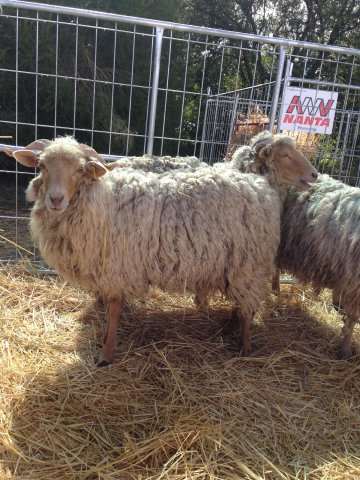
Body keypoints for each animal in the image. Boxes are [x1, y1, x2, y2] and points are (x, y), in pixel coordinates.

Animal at [9, 135, 316, 364]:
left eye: (80, 169)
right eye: (42, 166)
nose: (55, 199)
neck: (99, 200)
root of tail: (259, 186)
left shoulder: (118, 268)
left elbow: (114, 311)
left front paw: (107, 354)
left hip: (249, 265)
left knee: (249, 309)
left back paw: (244, 348)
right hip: (236, 266)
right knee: (242, 304)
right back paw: (230, 328)